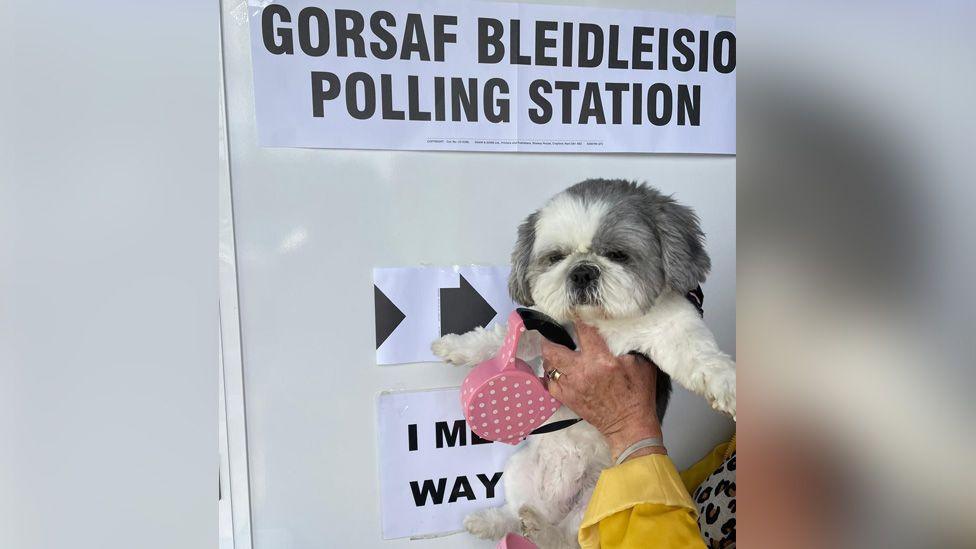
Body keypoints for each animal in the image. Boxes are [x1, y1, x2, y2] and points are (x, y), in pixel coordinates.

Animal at [430, 180, 736, 548]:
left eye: (618, 254)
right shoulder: (547, 328)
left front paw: (727, 383)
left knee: (565, 539)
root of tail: (554, 507)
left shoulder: (671, 327)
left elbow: (698, 355)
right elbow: (499, 338)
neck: (602, 322)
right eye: (556, 257)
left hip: (598, 496)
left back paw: (542, 530)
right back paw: (493, 521)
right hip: (520, 467)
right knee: (514, 515)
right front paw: (457, 347)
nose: (582, 270)